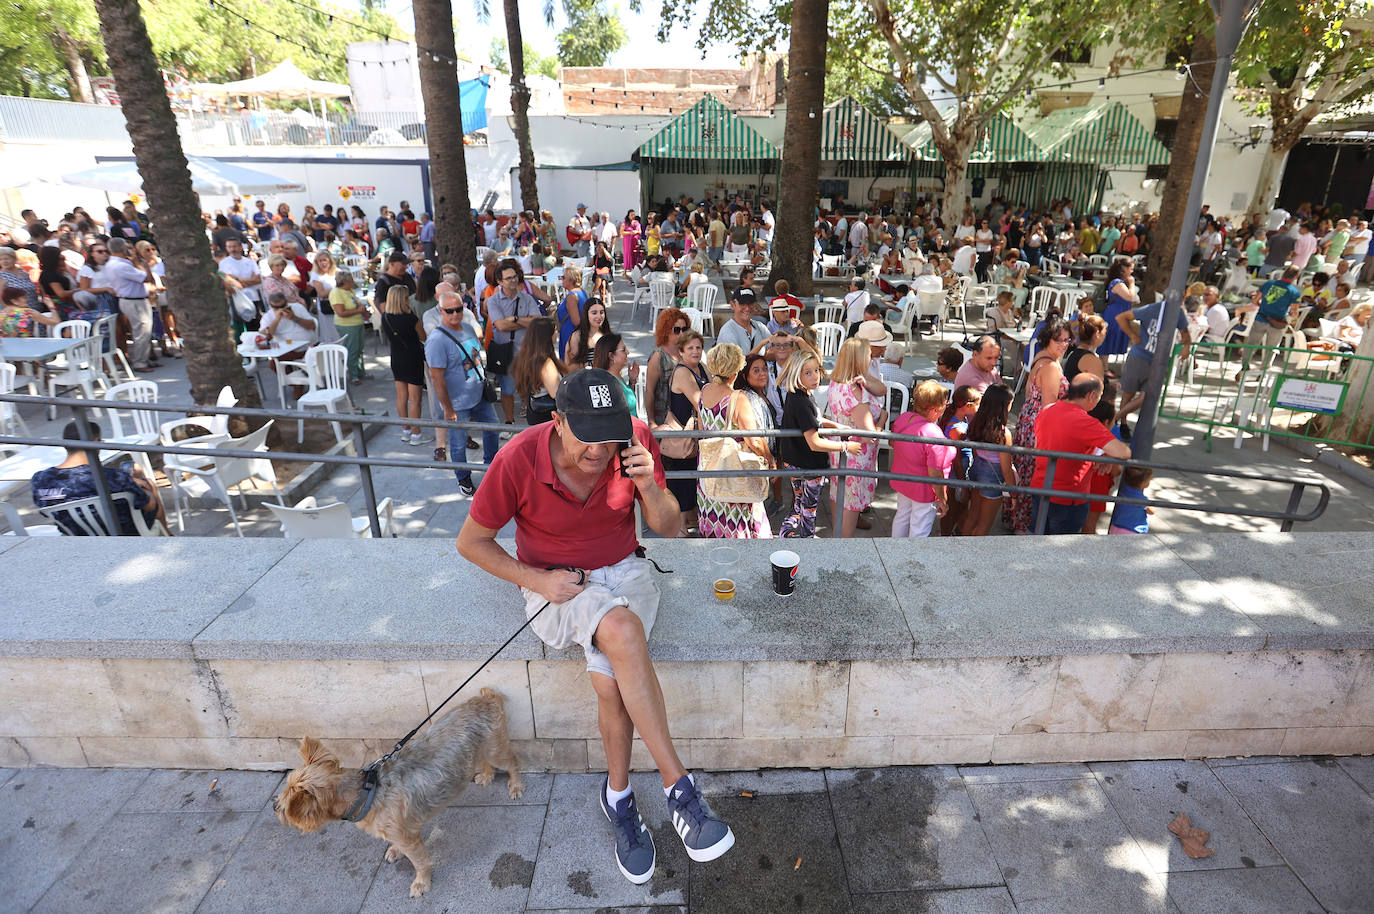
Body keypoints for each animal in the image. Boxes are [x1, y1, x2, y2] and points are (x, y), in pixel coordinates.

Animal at [274, 687, 524, 896]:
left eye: (285, 808)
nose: (273, 805)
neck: (367, 793)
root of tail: (486, 698)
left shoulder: (408, 838)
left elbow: (421, 862)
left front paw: (421, 883)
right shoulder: (404, 831)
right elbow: (398, 844)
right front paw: (395, 851)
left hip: (495, 748)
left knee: (512, 762)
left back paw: (516, 785)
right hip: (477, 750)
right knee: (483, 761)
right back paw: (486, 775)